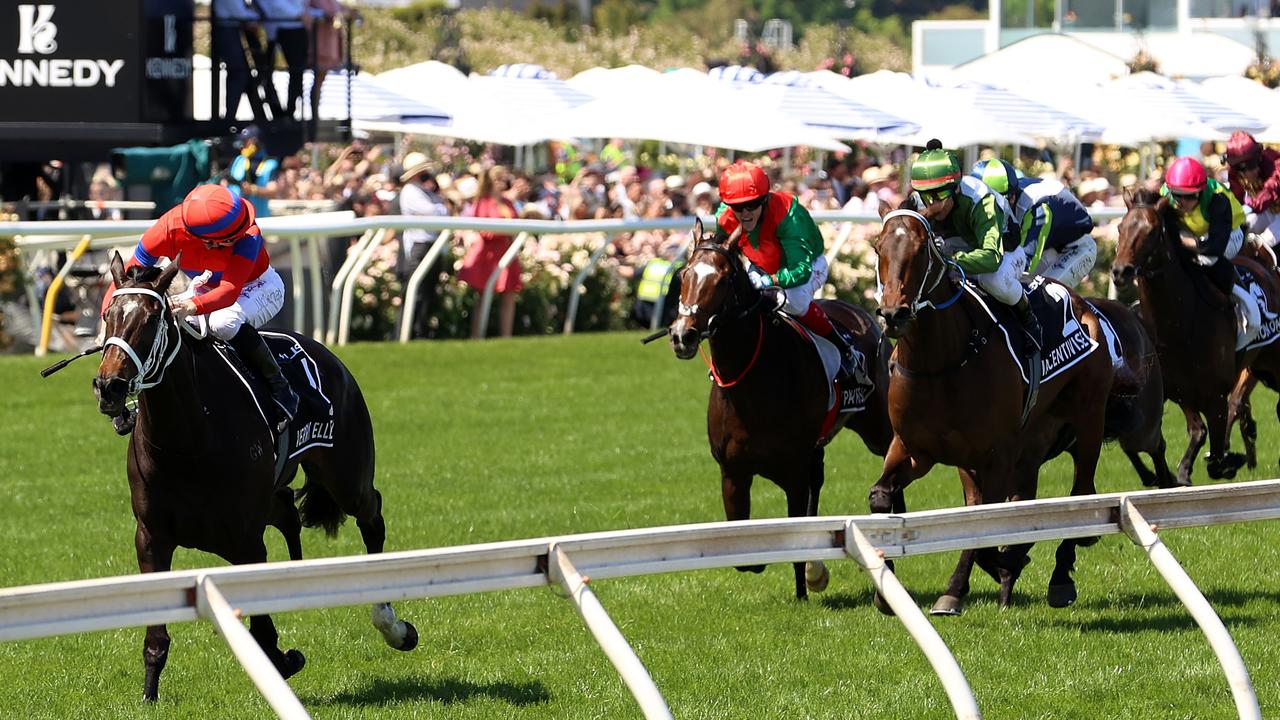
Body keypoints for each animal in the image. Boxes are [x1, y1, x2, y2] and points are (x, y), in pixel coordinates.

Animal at [91, 254, 419, 696]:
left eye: (151, 318)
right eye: (108, 315)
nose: (110, 386)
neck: (187, 440)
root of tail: (329, 354)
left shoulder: (246, 538)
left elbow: (262, 634)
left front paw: (285, 659)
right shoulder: (151, 536)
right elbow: (157, 637)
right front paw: (148, 695)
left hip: (347, 476)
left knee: (371, 514)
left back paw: (392, 625)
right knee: (290, 516)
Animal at [670, 220, 890, 599]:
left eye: (723, 280)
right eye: (684, 274)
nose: (683, 335)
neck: (751, 383)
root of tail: (860, 312)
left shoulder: (793, 470)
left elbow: (794, 537)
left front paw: (809, 580)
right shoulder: (732, 473)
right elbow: (747, 555)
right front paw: (807, 577)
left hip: (877, 427)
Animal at [870, 199, 1121, 609]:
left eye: (922, 250)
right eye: (878, 248)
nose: (894, 314)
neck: (941, 362)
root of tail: (1084, 304)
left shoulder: (998, 454)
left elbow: (987, 529)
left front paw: (1006, 563)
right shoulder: (913, 449)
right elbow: (881, 497)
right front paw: (886, 588)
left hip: (1089, 421)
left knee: (1080, 492)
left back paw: (1058, 576)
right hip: (1025, 444)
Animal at [1111, 188, 1280, 484]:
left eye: (1152, 232)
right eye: (1121, 228)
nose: (1121, 271)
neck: (1179, 326)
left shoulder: (1215, 396)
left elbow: (1216, 454)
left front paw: (1230, 460)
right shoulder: (1179, 391)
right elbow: (1195, 432)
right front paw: (1178, 473)